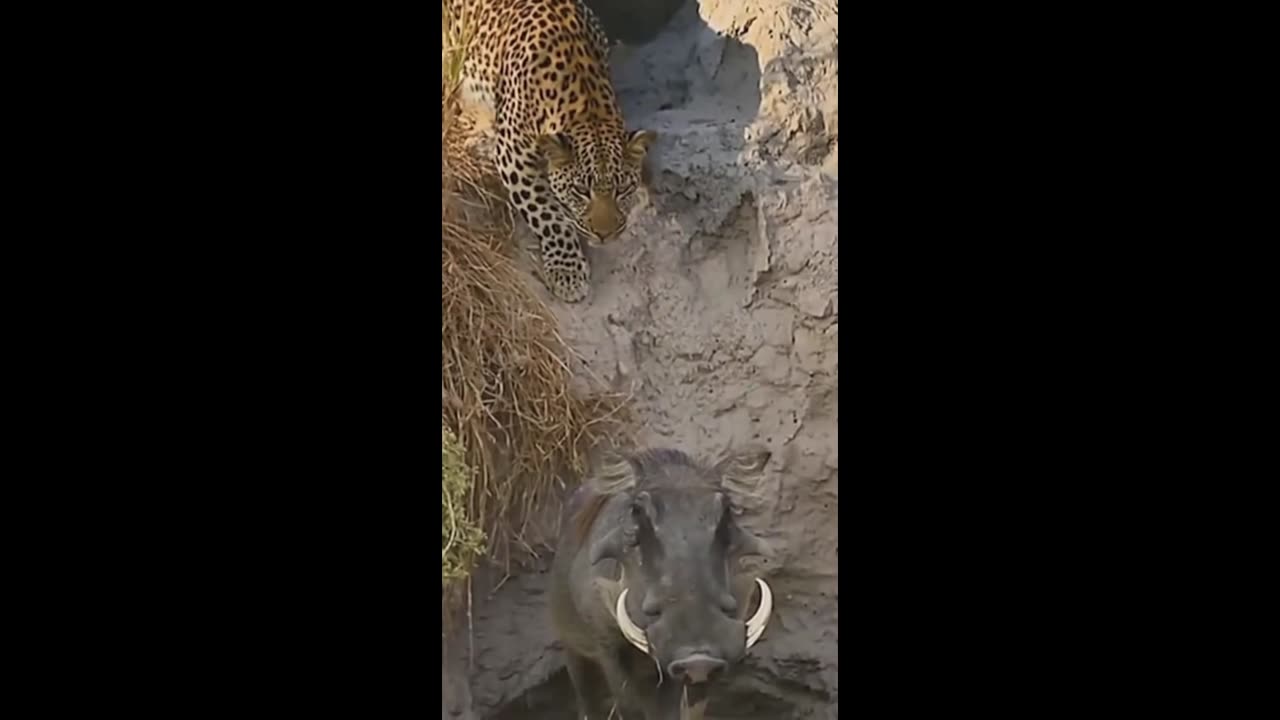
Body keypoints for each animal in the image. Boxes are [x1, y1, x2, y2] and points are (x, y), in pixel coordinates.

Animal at [445, 0, 656, 303]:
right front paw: (567, 272)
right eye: (581, 191)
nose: (603, 235)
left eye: (622, 189)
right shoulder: (514, 158)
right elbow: (546, 213)